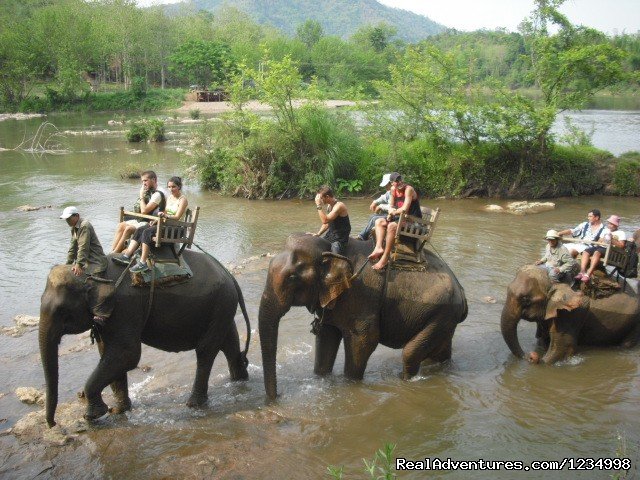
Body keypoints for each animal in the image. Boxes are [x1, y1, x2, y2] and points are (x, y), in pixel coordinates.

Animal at [38, 249, 251, 426]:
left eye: (63, 312)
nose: (53, 424)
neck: (94, 272)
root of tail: (228, 274)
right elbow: (109, 353)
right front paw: (119, 410)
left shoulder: (124, 309)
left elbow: (127, 354)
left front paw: (92, 416)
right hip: (221, 306)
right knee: (228, 341)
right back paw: (240, 380)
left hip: (221, 302)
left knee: (206, 350)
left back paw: (194, 404)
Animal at [258, 234, 468, 400]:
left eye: (292, 278)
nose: (279, 396)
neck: (331, 249)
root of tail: (462, 292)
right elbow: (326, 337)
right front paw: (321, 379)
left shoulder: (361, 295)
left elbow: (364, 340)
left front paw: (350, 387)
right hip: (444, 317)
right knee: (439, 351)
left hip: (442, 313)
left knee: (410, 353)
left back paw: (406, 381)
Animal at [500, 262, 640, 364]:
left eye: (526, 300)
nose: (531, 356)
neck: (554, 281)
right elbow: (543, 340)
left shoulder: (572, 313)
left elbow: (562, 348)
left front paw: (543, 360)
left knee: (626, 344)